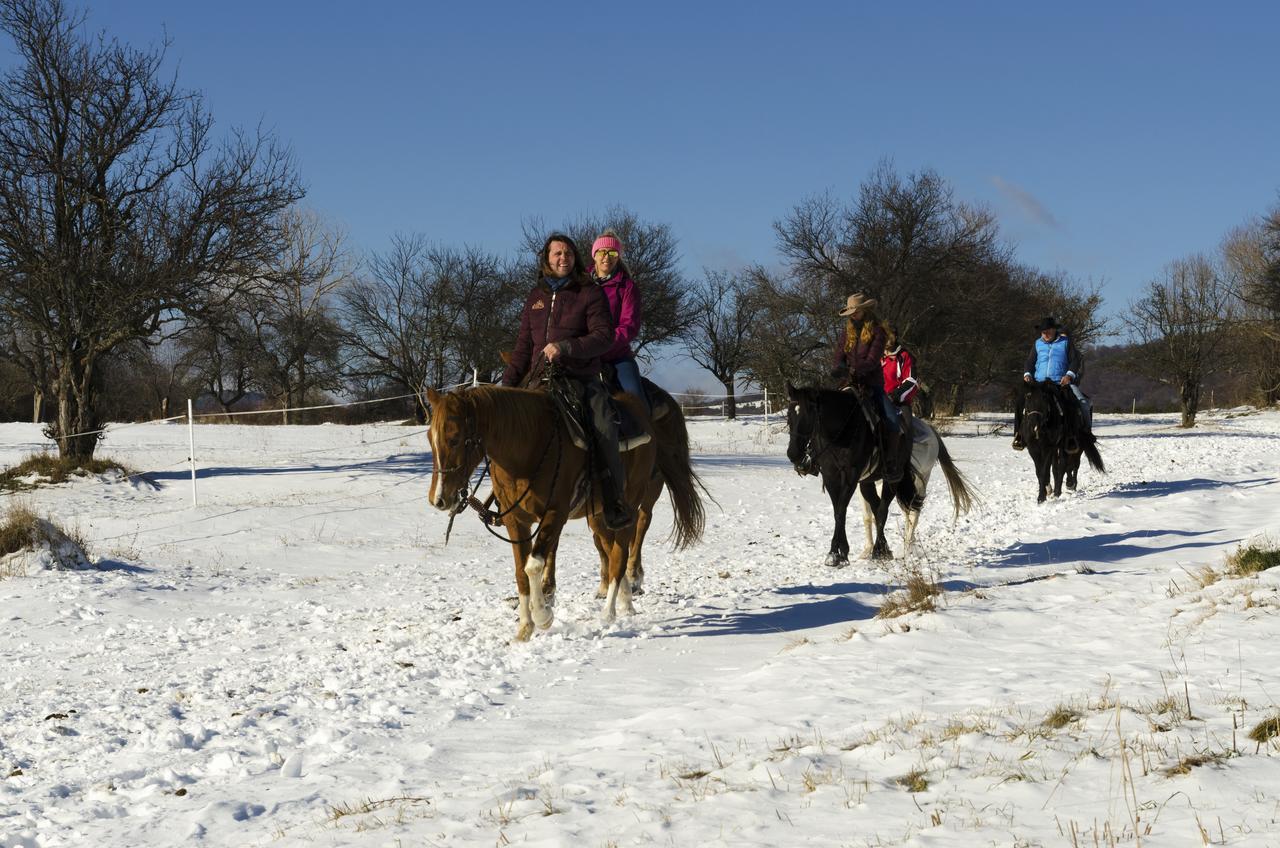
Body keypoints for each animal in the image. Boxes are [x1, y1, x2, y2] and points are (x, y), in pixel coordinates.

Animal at [783, 384, 972, 563]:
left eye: (808, 415)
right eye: (789, 415)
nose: (793, 454)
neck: (844, 431)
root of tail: (931, 432)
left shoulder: (851, 478)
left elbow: (847, 510)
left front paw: (839, 554)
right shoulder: (836, 478)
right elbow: (846, 512)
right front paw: (843, 552)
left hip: (914, 480)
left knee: (908, 513)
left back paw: (902, 549)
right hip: (879, 482)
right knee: (890, 511)